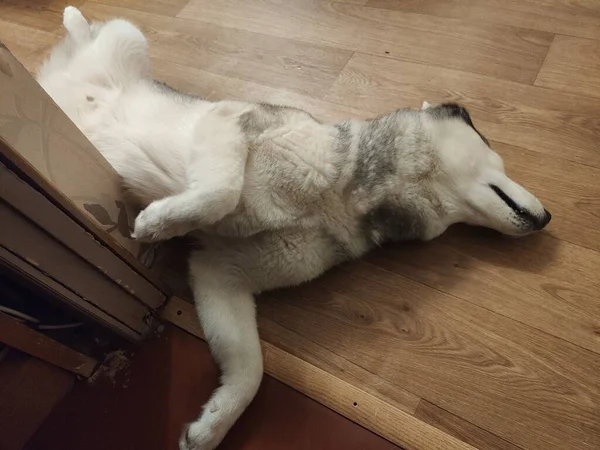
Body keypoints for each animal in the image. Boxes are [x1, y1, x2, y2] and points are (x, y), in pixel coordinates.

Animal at [38, 7, 552, 450]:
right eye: (494, 151)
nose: (548, 218)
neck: (346, 196)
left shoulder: (219, 272)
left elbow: (251, 369)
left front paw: (214, 424)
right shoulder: (229, 120)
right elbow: (221, 192)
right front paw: (158, 222)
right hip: (131, 37)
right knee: (96, 33)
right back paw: (74, 20)